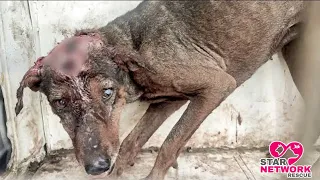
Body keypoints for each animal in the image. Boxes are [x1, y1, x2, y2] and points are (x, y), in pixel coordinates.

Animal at [13, 1, 308, 180]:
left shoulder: (218, 85)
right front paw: (117, 173)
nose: (97, 166)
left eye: (107, 93)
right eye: (60, 103)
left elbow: (169, 144)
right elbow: (131, 142)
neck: (131, 43)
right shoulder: (168, 100)